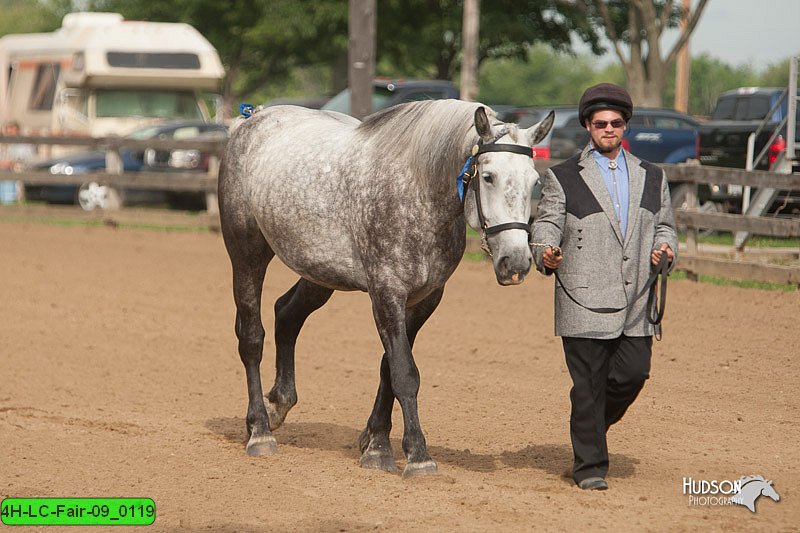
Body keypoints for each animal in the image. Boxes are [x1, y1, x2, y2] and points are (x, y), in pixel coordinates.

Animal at [220, 100, 556, 478]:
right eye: (488, 176)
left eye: (535, 181)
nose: (516, 262)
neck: (417, 191)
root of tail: (249, 120)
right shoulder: (386, 293)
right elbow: (405, 373)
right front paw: (416, 455)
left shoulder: (424, 299)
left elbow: (389, 367)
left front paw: (376, 442)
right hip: (247, 255)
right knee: (251, 336)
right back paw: (260, 430)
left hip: (319, 274)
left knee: (287, 315)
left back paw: (279, 404)